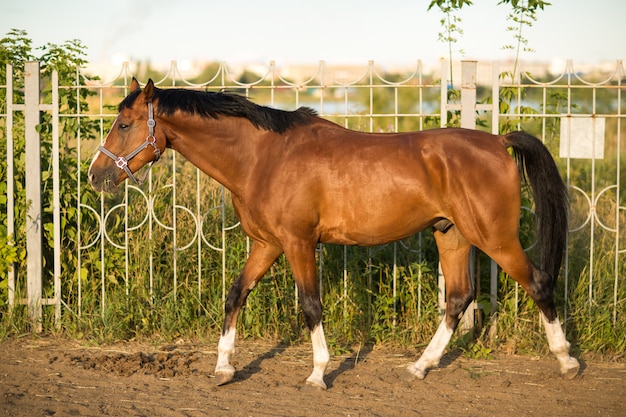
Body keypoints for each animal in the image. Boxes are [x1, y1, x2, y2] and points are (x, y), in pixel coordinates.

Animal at [86, 79, 576, 390]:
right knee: (458, 298)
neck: (263, 157)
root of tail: (498, 143)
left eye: (124, 124)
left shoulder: (298, 243)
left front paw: (318, 373)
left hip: (495, 239)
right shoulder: (267, 244)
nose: (96, 175)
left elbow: (310, 305)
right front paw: (224, 368)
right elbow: (235, 294)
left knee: (538, 283)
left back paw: (567, 360)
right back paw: (419, 367)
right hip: (450, 235)